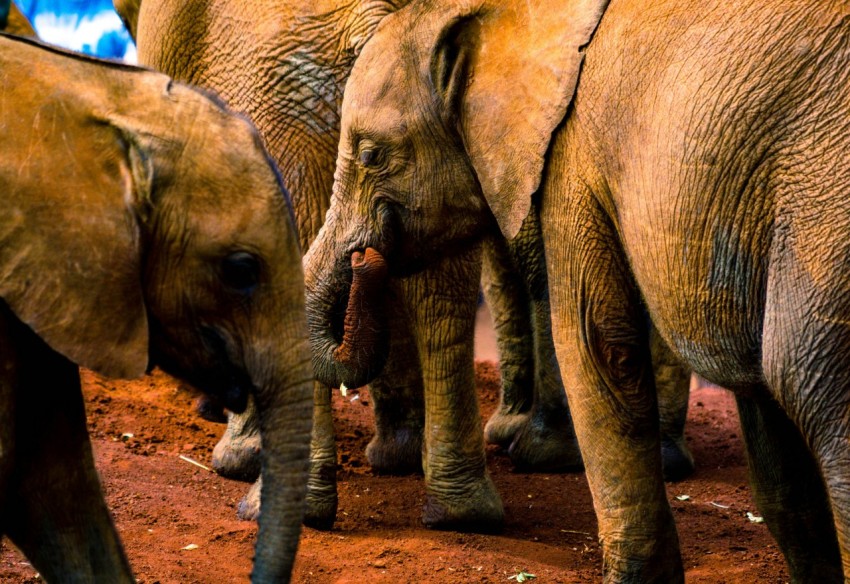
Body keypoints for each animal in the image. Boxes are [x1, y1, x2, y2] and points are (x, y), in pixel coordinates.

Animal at [306, 0, 850, 581]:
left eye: (371, 155)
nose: (365, 258)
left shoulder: (572, 156)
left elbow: (598, 347)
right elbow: (775, 457)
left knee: (809, 389)